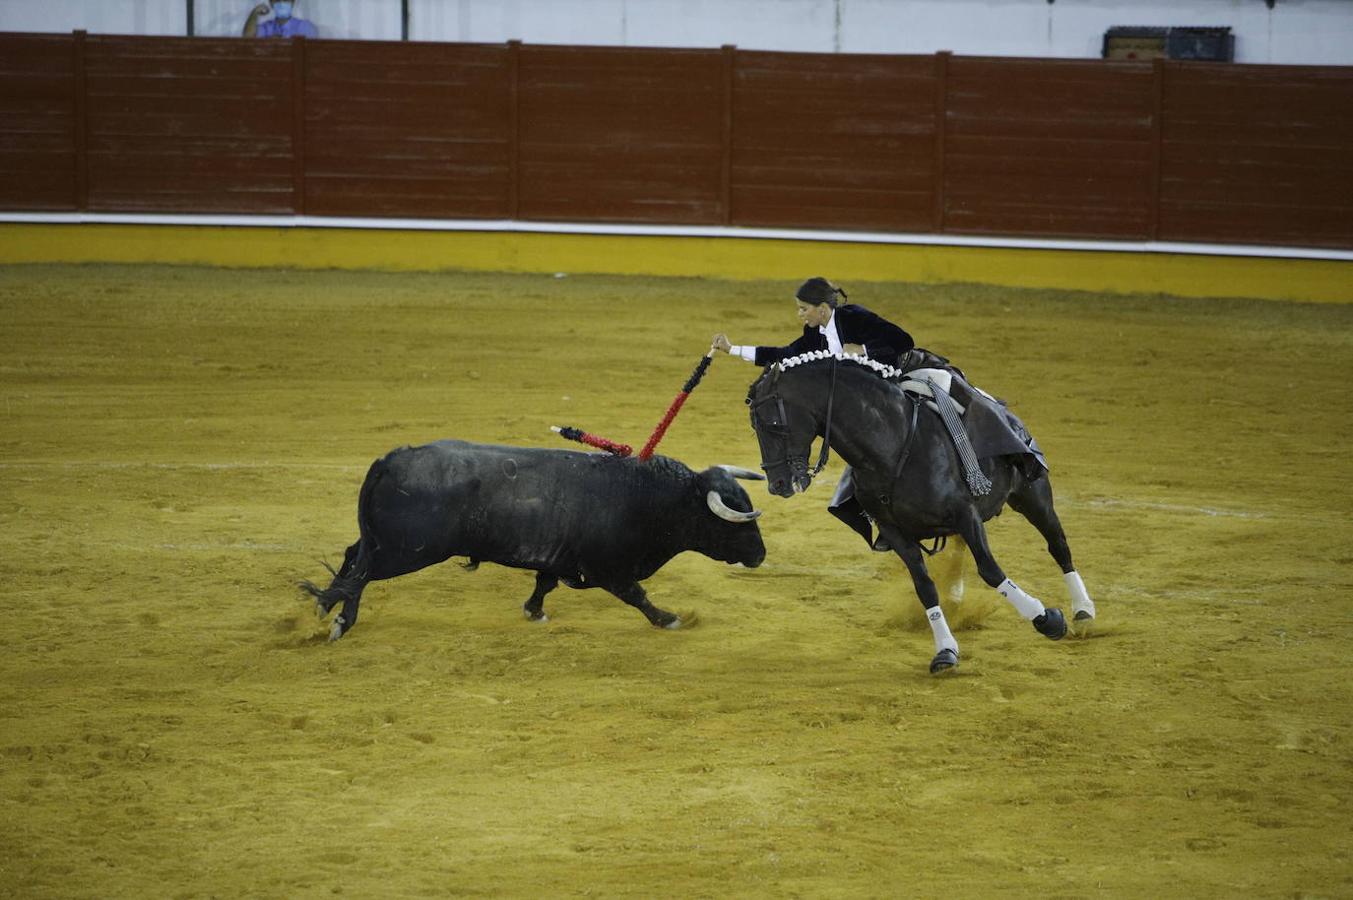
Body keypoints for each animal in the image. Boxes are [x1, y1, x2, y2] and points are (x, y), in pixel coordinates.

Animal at [303, 435, 768, 636]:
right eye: (733, 520)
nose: (761, 554)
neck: (650, 496)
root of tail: (389, 460)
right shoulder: (608, 569)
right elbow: (637, 595)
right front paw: (669, 618)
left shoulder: (562, 559)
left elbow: (544, 583)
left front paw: (533, 611)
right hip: (404, 550)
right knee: (360, 576)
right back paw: (341, 620)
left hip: (382, 542)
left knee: (352, 560)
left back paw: (329, 611)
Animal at [746, 354, 1093, 671]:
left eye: (773, 424)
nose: (778, 484)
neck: (891, 448)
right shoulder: (894, 531)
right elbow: (924, 586)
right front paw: (945, 649)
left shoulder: (965, 514)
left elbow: (991, 570)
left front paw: (1046, 618)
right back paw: (955, 596)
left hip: (1033, 496)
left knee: (1058, 544)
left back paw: (1083, 610)